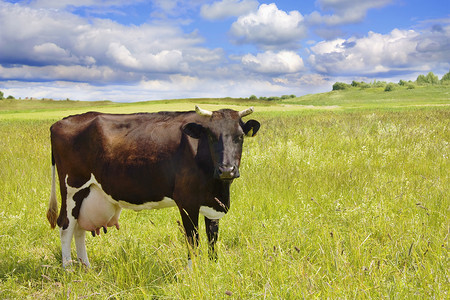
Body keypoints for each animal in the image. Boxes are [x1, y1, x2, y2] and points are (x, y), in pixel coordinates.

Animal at [46, 105, 260, 268]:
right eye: (212, 136)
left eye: (240, 136)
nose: (226, 170)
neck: (218, 186)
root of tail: (60, 122)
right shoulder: (186, 201)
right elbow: (192, 239)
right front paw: (194, 273)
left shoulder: (213, 203)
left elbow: (212, 238)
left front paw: (214, 269)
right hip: (72, 188)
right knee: (65, 225)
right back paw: (68, 269)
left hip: (86, 193)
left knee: (79, 229)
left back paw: (87, 267)